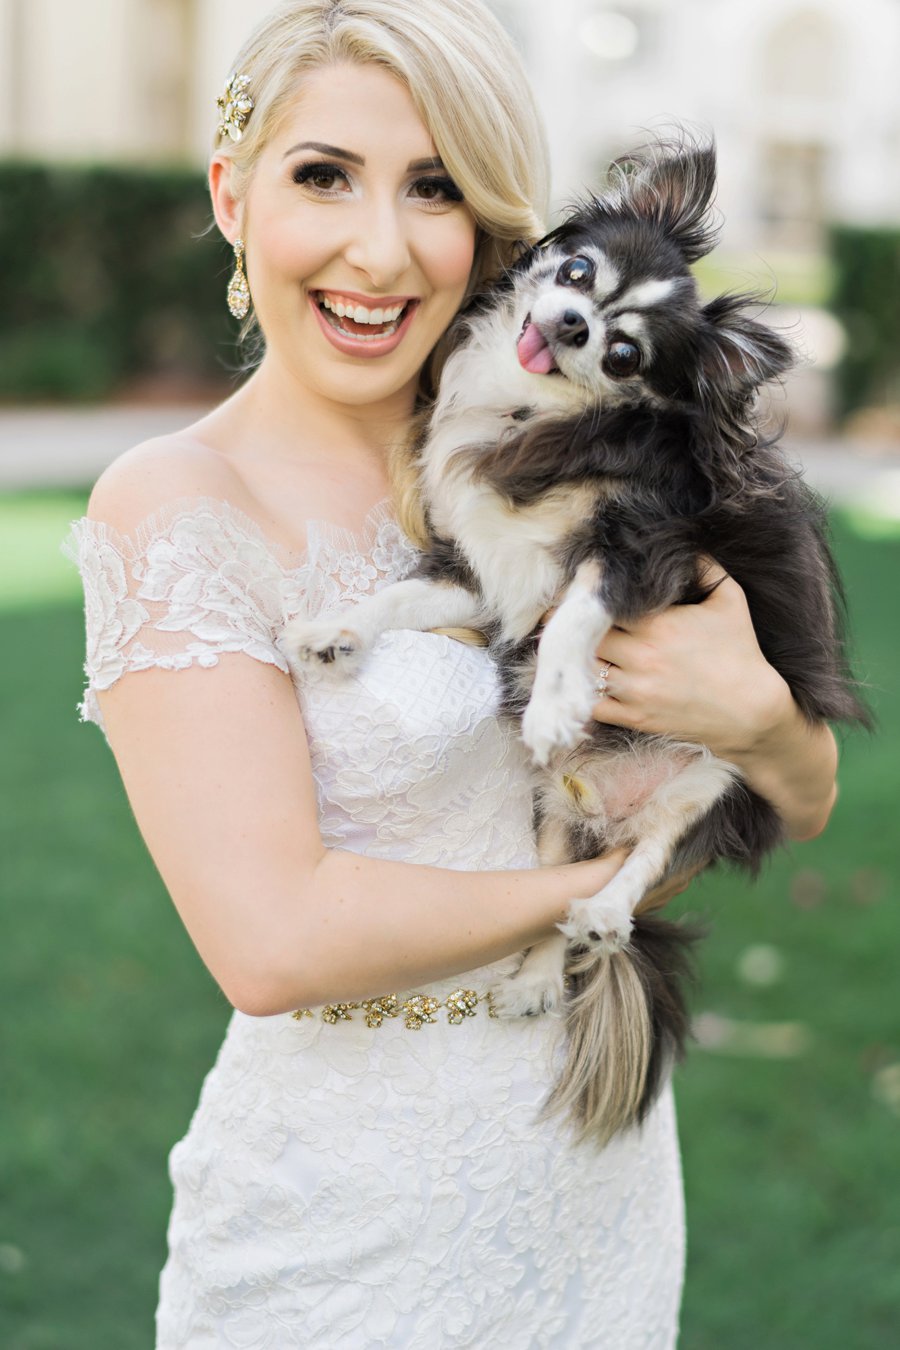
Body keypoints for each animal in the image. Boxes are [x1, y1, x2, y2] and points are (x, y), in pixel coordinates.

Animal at [284, 142, 868, 1144]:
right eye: (579, 273)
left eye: (623, 352)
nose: (566, 323)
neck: (535, 414)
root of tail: (616, 808)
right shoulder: (477, 573)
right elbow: (399, 596)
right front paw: (337, 630)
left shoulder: (648, 552)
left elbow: (578, 613)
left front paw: (558, 700)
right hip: (553, 815)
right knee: (547, 898)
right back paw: (528, 980)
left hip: (721, 778)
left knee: (645, 861)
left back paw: (604, 909)